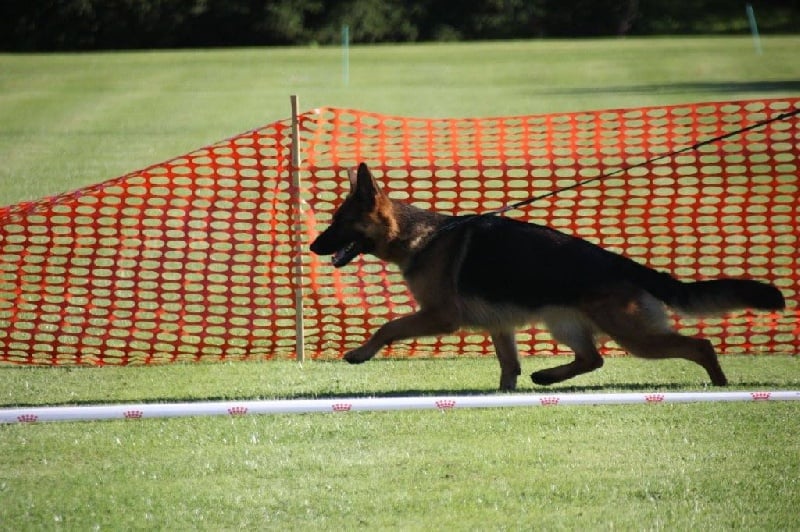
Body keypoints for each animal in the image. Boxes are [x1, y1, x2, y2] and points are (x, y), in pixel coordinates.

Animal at [310, 163, 784, 390]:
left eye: (339, 223)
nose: (313, 247)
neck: (420, 236)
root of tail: (628, 265)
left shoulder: (440, 317)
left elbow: (388, 326)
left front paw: (360, 353)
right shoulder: (499, 325)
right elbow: (509, 365)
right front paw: (504, 393)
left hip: (633, 335)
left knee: (699, 344)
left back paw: (721, 386)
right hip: (564, 323)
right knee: (593, 358)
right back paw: (547, 378)